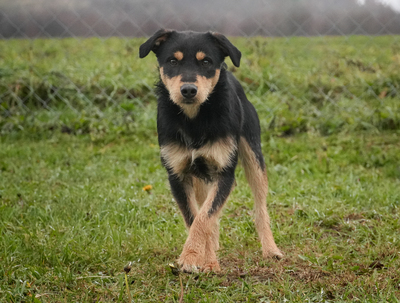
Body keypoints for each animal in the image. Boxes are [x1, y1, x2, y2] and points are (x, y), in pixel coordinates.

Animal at [139, 30, 282, 274]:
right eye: (172, 61)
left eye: (206, 62)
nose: (188, 90)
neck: (194, 119)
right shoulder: (177, 175)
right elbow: (194, 217)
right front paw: (201, 258)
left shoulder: (224, 173)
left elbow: (204, 217)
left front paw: (194, 258)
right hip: (200, 177)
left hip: (253, 157)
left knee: (260, 208)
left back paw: (270, 249)